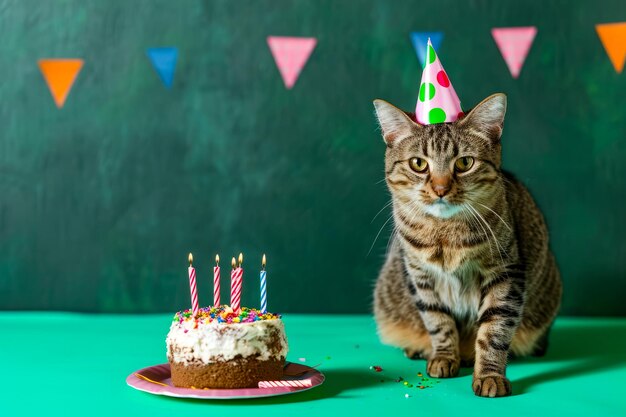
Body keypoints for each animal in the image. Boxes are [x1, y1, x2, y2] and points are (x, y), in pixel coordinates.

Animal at [370, 93, 560, 396]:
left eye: (464, 163)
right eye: (418, 164)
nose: (440, 189)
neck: (444, 233)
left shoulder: (505, 274)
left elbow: (493, 331)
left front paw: (489, 375)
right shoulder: (420, 277)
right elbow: (438, 322)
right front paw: (444, 357)